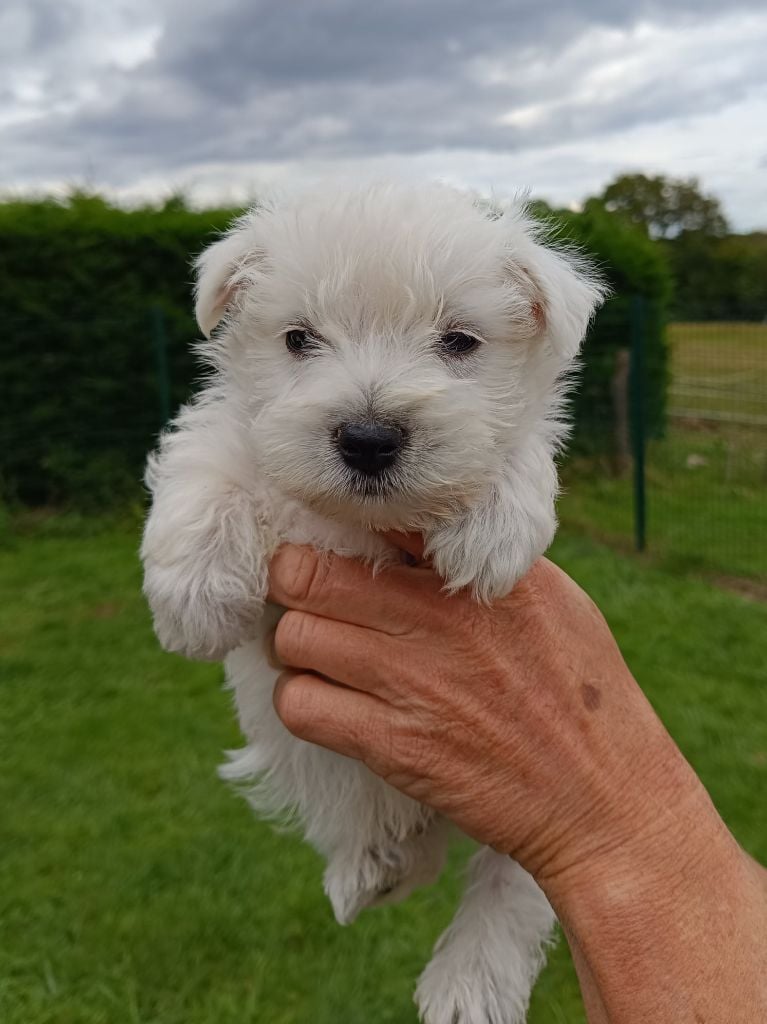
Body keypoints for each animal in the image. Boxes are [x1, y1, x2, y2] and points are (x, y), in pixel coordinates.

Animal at [139, 184, 606, 1024]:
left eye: (459, 341)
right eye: (298, 339)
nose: (366, 437)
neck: (362, 522)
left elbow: (514, 445)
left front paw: (491, 527)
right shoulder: (242, 433)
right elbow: (210, 454)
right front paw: (194, 599)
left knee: (512, 880)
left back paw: (465, 985)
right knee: (392, 830)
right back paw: (371, 868)